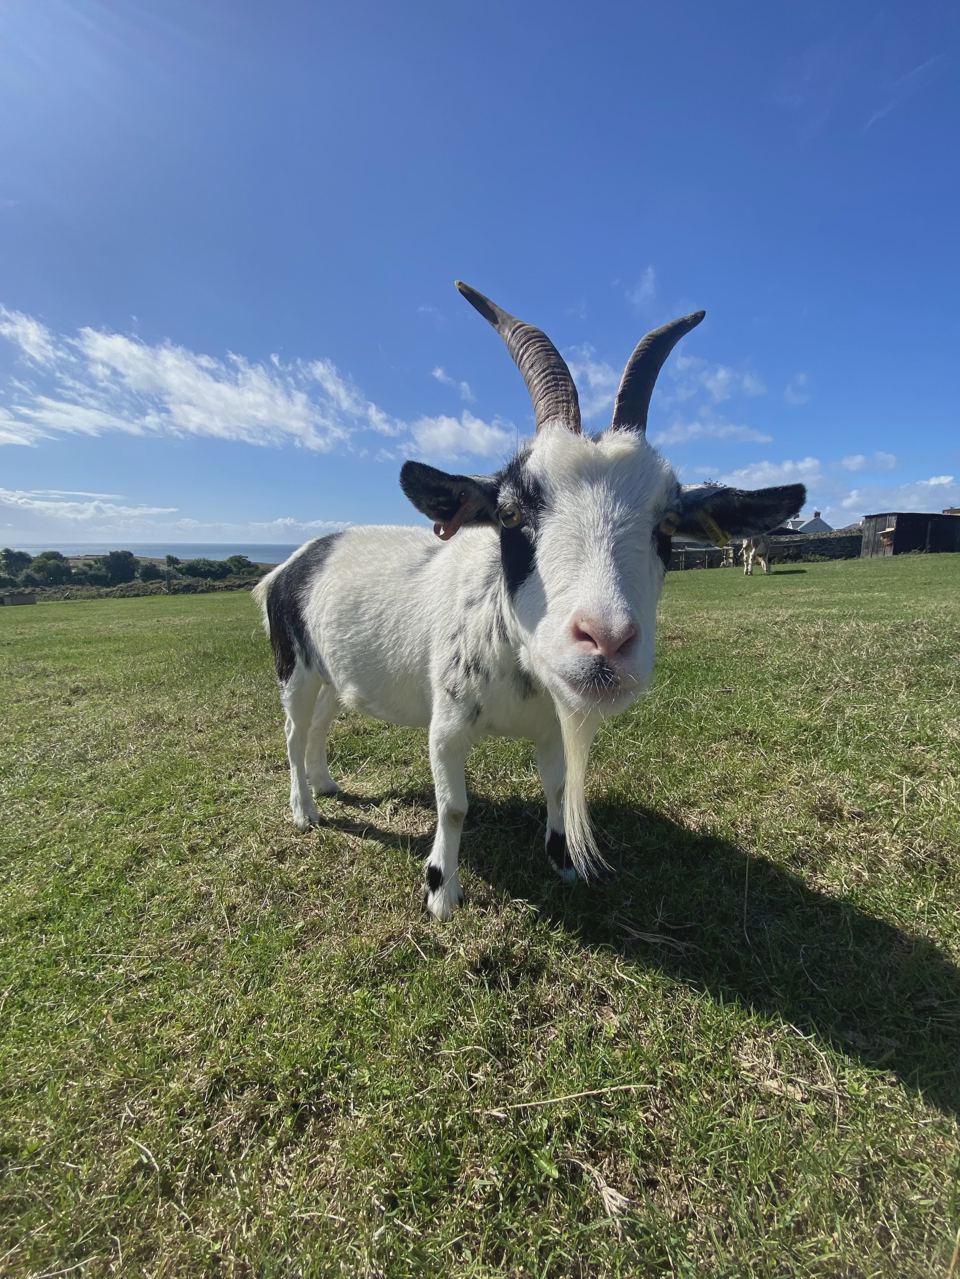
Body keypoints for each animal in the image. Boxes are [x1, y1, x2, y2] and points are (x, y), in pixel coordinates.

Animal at [254, 283, 805, 919]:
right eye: (512, 513)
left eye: (667, 522)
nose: (606, 641)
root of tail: (288, 566)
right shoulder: (447, 724)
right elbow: (454, 806)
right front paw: (442, 892)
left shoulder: (552, 725)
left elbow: (559, 787)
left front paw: (562, 862)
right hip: (293, 665)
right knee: (292, 732)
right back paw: (305, 810)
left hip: (331, 672)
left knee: (320, 723)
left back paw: (325, 784)